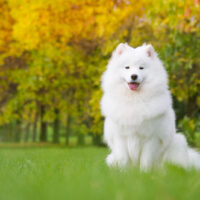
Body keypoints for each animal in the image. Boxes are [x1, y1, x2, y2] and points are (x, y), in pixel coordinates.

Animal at [101, 42, 200, 170]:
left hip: (178, 141)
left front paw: (145, 173)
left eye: (141, 68)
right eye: (127, 67)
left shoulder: (151, 138)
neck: (134, 100)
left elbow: (146, 159)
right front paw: (124, 172)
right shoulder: (120, 137)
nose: (134, 76)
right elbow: (123, 158)